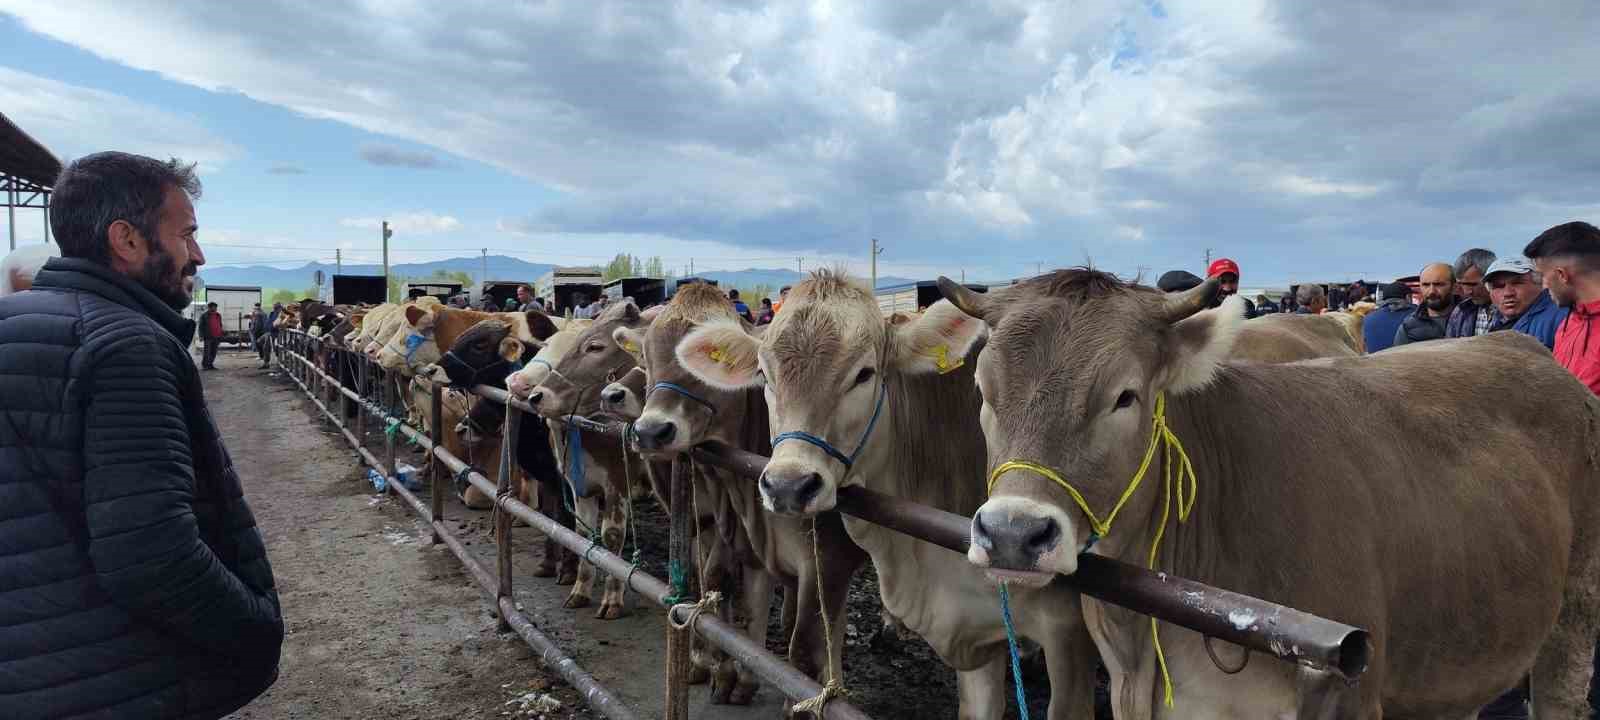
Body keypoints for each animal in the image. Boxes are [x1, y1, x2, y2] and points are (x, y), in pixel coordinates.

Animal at [611, 280, 870, 697]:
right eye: (647, 357)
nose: (651, 431)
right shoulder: (723, 529)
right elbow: (716, 582)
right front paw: (713, 664)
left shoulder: (824, 555)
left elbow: (804, 634)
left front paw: (732, 671)